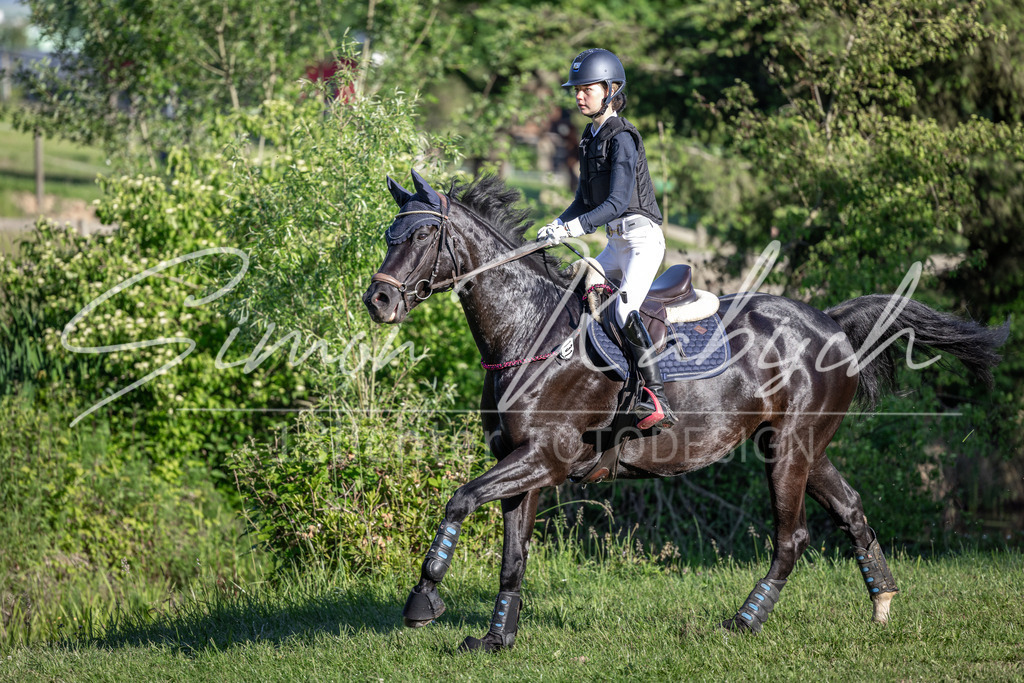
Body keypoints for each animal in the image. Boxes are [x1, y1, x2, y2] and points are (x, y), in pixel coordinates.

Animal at [362, 170, 1008, 652]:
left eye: (422, 235)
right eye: (390, 233)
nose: (379, 300)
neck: (529, 332)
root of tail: (831, 322)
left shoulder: (544, 458)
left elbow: (460, 499)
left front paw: (423, 601)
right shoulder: (524, 464)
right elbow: (512, 556)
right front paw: (497, 639)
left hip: (790, 451)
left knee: (792, 536)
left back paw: (744, 622)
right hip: (799, 446)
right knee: (849, 509)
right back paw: (882, 602)